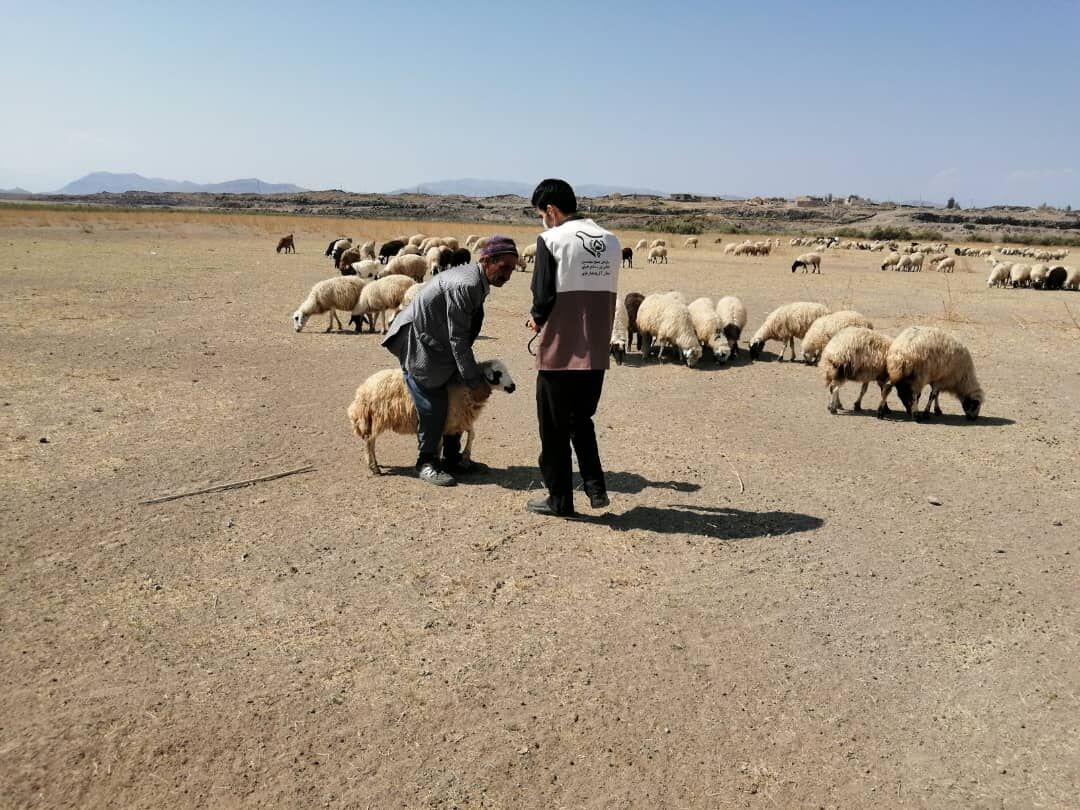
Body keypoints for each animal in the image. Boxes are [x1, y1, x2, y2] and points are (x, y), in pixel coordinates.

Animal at [345, 360, 514, 475]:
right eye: (498, 373)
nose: (513, 387)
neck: (465, 388)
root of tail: (362, 390)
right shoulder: (448, 419)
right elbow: (440, 443)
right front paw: (438, 462)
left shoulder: (458, 419)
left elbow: (472, 434)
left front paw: (464, 459)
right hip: (376, 418)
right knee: (370, 442)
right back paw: (374, 467)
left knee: (370, 441)